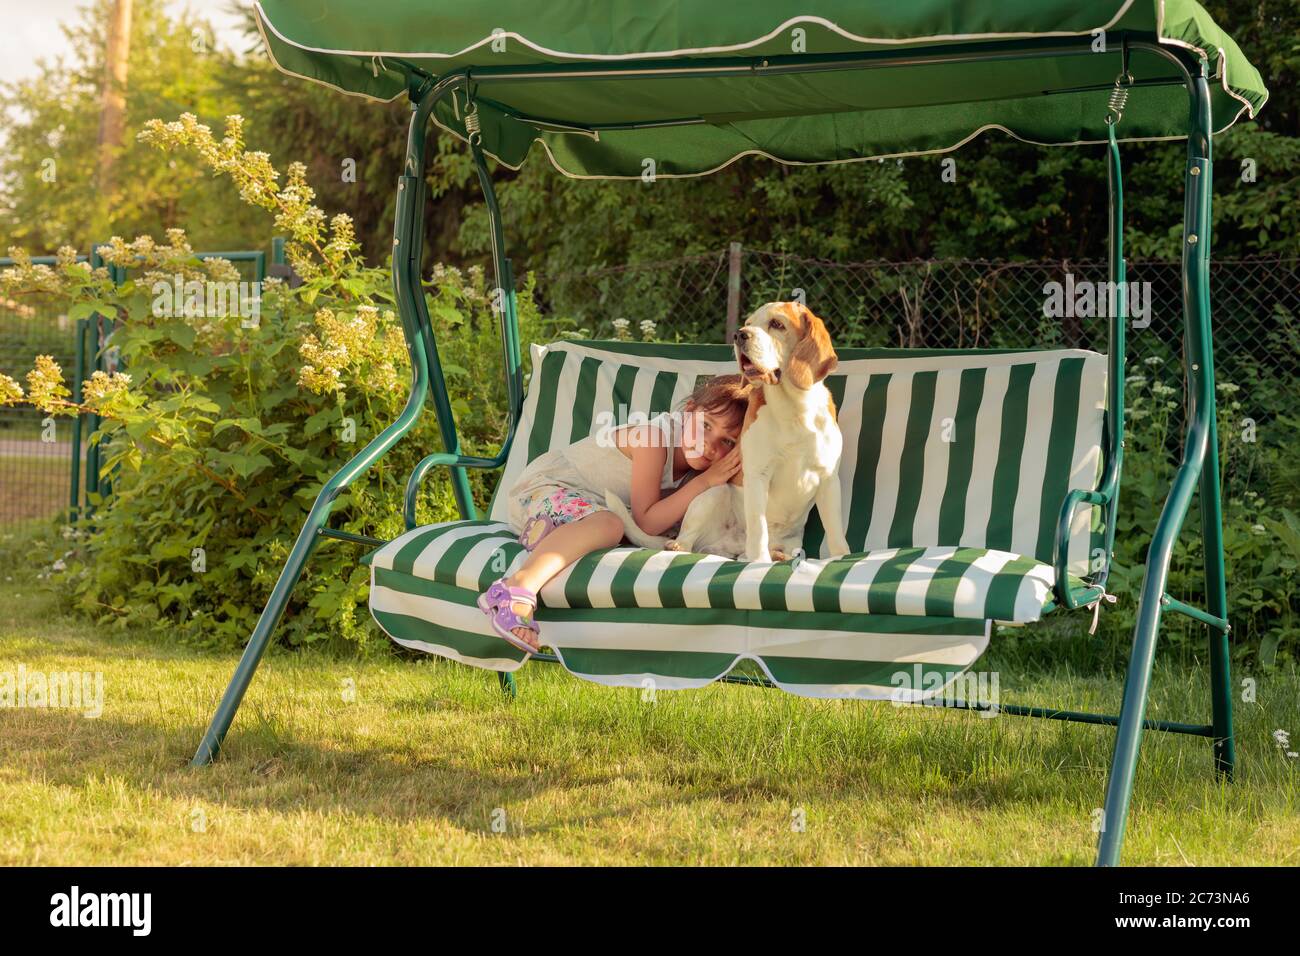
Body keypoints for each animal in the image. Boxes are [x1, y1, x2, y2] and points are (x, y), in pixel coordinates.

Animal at [608, 303, 852, 564]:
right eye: (748, 322)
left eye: (777, 324)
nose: (739, 335)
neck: (794, 410)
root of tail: (732, 547)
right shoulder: (757, 476)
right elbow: (758, 528)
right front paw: (760, 563)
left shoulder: (829, 479)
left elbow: (835, 531)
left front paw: (842, 557)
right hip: (713, 493)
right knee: (687, 541)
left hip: (791, 543)